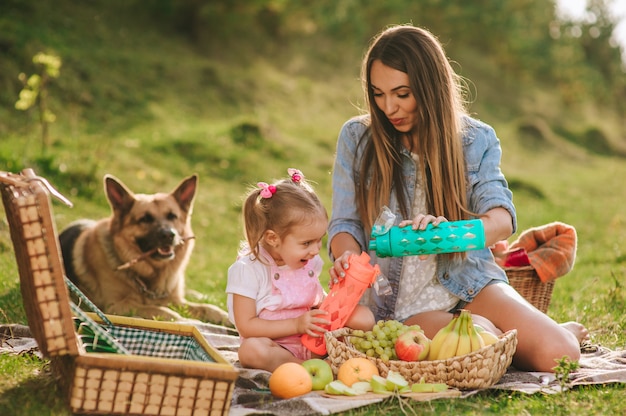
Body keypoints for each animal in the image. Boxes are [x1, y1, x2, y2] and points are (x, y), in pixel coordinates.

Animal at [59, 174, 232, 326]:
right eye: (145, 219)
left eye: (172, 216)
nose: (169, 235)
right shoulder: (116, 306)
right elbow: (160, 310)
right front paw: (188, 321)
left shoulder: (176, 301)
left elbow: (206, 307)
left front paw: (225, 317)